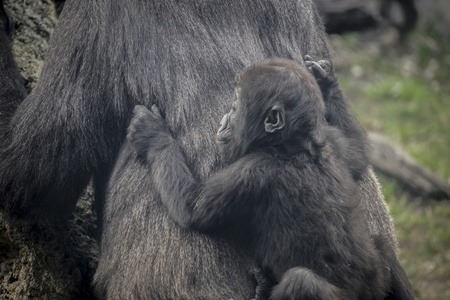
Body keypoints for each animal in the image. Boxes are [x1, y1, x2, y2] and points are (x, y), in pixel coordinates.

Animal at [126, 57, 386, 298]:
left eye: (235, 107)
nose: (224, 119)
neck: (291, 146)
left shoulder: (253, 172)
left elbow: (192, 207)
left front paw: (153, 134)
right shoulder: (331, 142)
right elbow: (357, 154)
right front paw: (326, 79)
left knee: (301, 282)